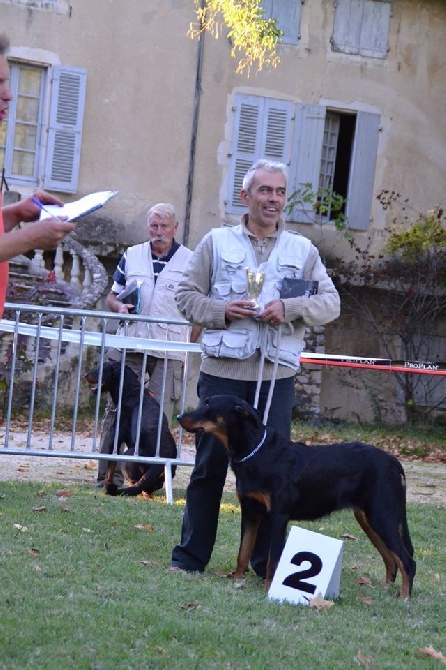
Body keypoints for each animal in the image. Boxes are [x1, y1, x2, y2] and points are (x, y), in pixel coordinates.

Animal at [85, 362, 178, 498]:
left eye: (100, 368)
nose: (85, 374)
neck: (131, 392)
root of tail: (160, 462)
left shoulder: (115, 439)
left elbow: (110, 467)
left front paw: (107, 484)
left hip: (128, 456)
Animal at [176, 394, 416, 600]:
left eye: (209, 406)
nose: (178, 417)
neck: (256, 453)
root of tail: (394, 463)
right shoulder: (250, 512)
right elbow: (243, 551)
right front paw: (236, 579)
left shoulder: (278, 516)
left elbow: (273, 558)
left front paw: (268, 588)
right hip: (368, 518)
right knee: (391, 559)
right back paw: (384, 591)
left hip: (381, 515)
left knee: (406, 561)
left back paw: (404, 598)